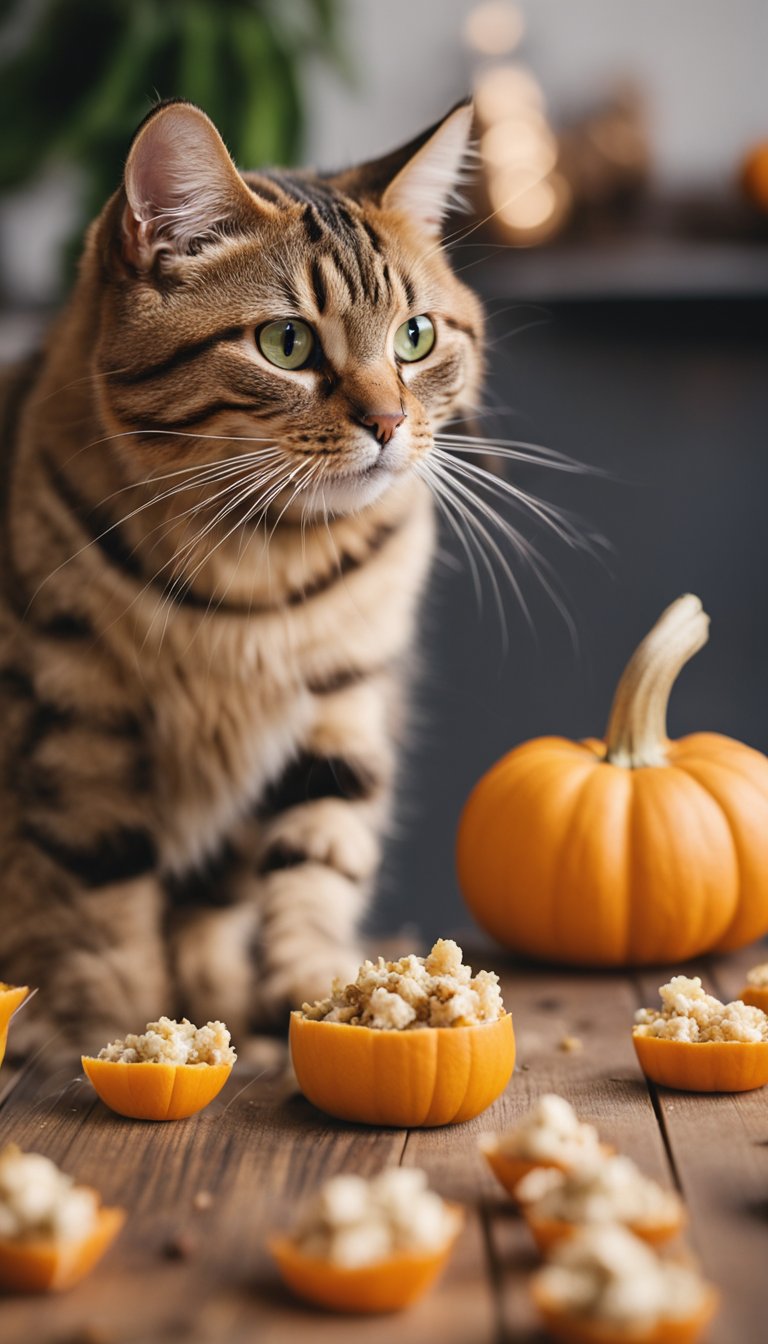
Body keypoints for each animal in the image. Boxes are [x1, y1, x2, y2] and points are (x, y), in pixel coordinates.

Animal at [0, 102, 481, 1048]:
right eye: (285, 343)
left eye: (415, 337)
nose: (389, 421)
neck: (259, 567)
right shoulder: (76, 719)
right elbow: (101, 900)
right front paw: (120, 1024)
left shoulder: (341, 703)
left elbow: (316, 860)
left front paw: (322, 997)